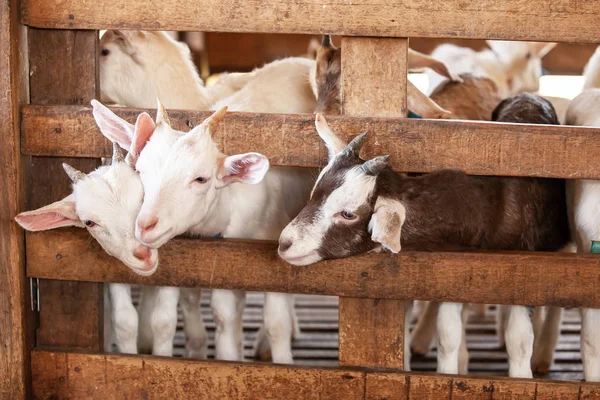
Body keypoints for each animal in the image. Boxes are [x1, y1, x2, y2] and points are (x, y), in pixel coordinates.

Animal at [95, 99, 314, 362]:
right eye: (139, 171)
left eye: (201, 179)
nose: (145, 224)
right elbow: (220, 313)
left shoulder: (272, 247)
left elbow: (276, 322)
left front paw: (280, 360)